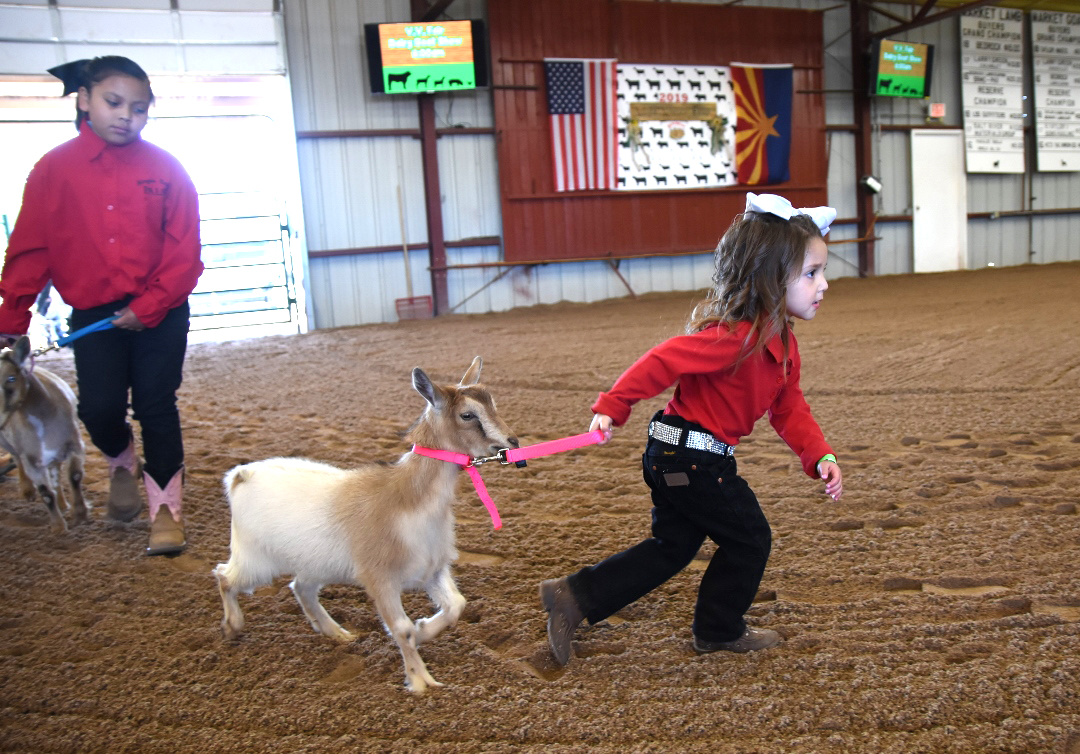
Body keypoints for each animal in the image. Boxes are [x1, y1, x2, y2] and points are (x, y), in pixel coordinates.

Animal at [0, 332, 86, 531]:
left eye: (11, 378)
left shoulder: (75, 445)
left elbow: (74, 476)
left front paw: (79, 513)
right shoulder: (31, 459)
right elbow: (46, 493)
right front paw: (59, 528)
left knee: (56, 475)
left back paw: (63, 503)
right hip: (9, 444)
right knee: (17, 460)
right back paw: (28, 490)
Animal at [214, 358, 518, 691]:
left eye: (493, 405)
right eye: (467, 414)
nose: (512, 442)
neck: (405, 498)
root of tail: (241, 475)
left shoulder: (433, 569)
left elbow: (456, 606)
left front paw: (424, 630)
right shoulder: (379, 578)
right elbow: (402, 628)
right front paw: (420, 682)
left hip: (316, 563)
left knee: (301, 587)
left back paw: (335, 632)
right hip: (255, 558)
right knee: (225, 576)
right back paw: (232, 626)